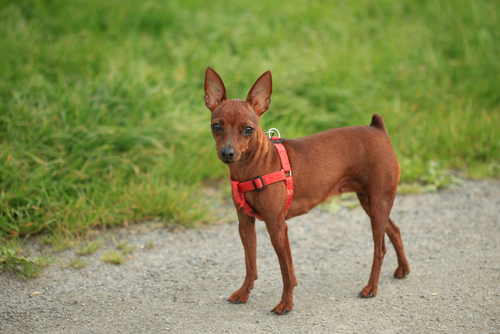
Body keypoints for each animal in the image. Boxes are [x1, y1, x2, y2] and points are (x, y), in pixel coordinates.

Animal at [203, 66, 410, 314]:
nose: (227, 153)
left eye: (248, 130)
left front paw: (285, 303)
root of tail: (378, 129)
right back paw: (403, 269)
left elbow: (286, 271)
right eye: (216, 126)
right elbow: (250, 264)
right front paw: (244, 293)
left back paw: (371, 288)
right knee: (395, 230)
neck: (253, 167)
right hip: (371, 203)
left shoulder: (277, 227)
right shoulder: (245, 225)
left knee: (379, 249)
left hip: (378, 203)